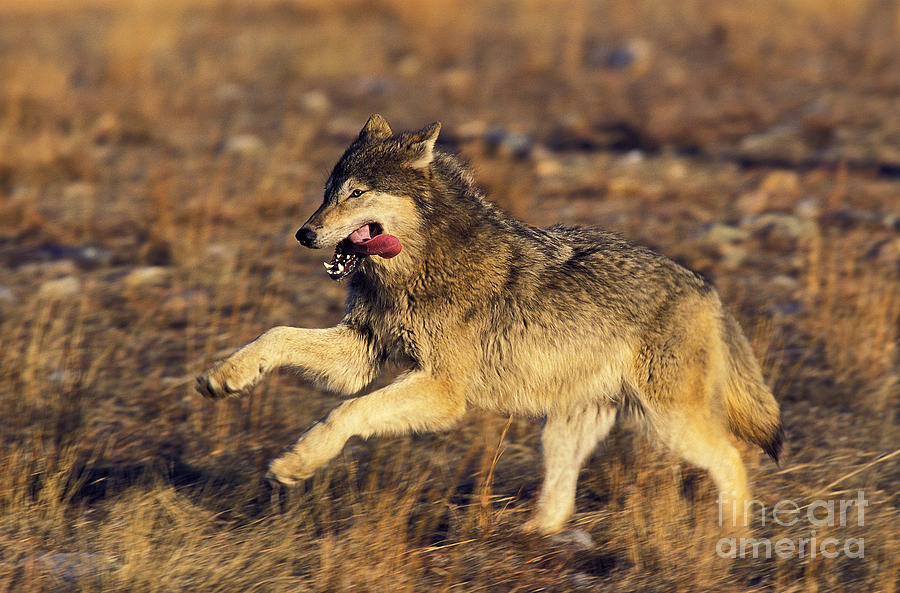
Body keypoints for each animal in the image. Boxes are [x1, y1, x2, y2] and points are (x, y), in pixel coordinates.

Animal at [195, 114, 780, 532]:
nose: (304, 234)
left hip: (669, 423)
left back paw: (731, 541)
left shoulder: (441, 391)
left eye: (357, 193)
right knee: (558, 504)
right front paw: (223, 377)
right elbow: (277, 336)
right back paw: (523, 538)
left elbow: (346, 414)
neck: (418, 266)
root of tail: (709, 291)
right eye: (327, 192)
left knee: (732, 458)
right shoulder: (360, 353)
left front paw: (296, 464)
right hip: (564, 430)